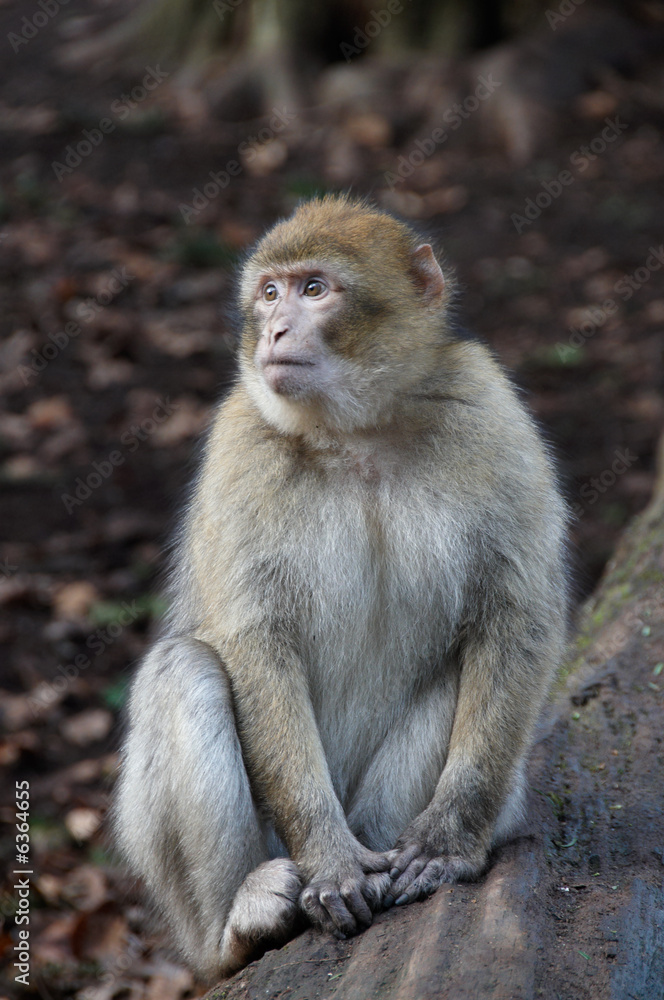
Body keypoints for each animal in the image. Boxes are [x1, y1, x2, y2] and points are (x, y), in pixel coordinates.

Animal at [114, 191, 564, 980]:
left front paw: (449, 842)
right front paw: (328, 862)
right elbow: (254, 641)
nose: (275, 329)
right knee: (184, 669)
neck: (358, 431)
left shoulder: (487, 409)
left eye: (315, 289)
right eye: (270, 293)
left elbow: (517, 617)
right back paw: (240, 924)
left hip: (386, 818)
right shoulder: (241, 442)